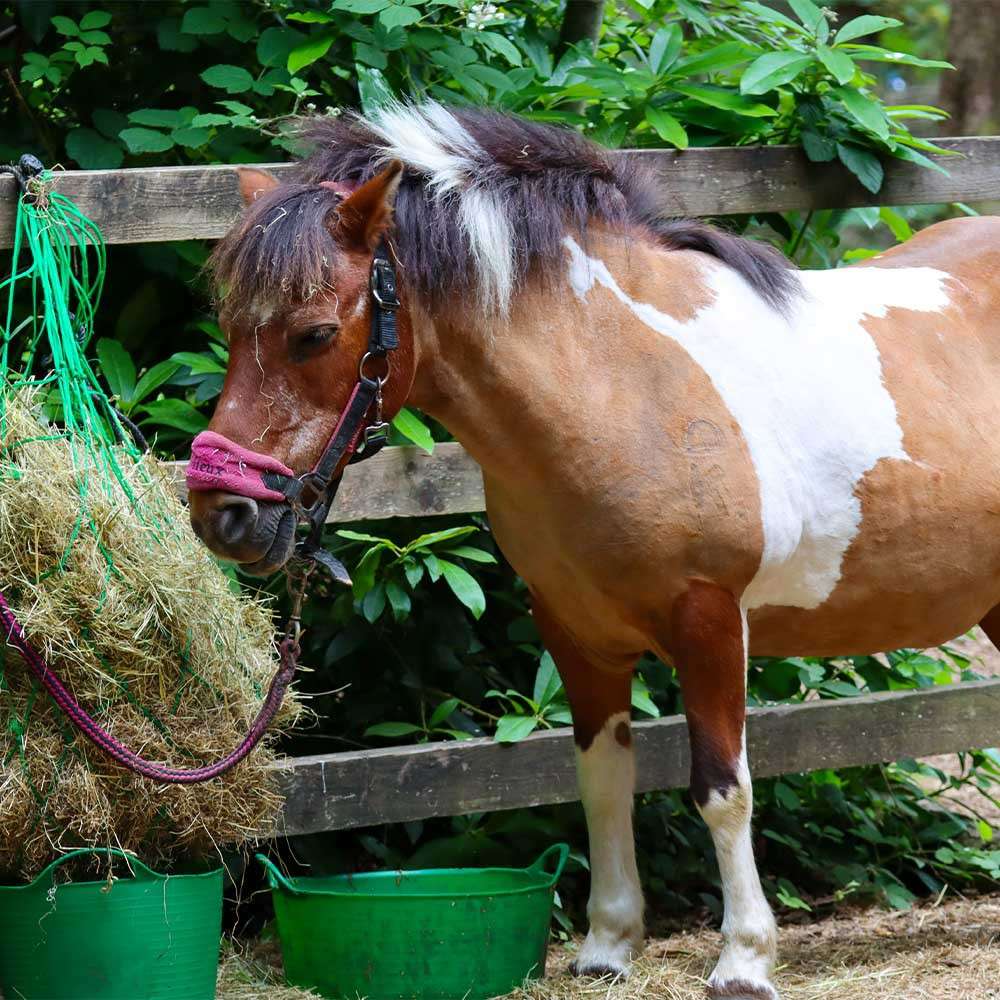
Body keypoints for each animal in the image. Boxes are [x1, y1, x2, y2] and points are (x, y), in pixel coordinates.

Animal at [186, 103, 1000, 1000]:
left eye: (316, 333)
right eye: (230, 328)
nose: (221, 513)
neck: (621, 385)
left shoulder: (709, 621)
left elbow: (722, 788)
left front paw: (744, 958)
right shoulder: (576, 631)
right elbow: (601, 779)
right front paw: (609, 944)